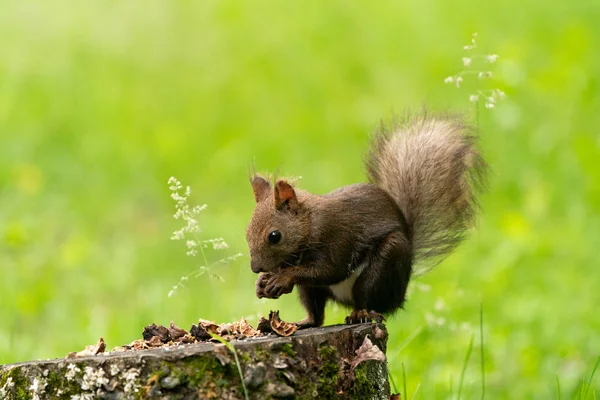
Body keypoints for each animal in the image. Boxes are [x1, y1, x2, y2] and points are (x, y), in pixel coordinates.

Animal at [246, 111, 486, 326]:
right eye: (246, 233)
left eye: (274, 236)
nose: (255, 268)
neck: (311, 223)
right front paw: (262, 282)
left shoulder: (337, 237)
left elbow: (329, 270)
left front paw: (282, 278)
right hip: (312, 290)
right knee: (316, 316)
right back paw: (302, 323)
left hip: (384, 264)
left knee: (369, 301)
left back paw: (360, 313)